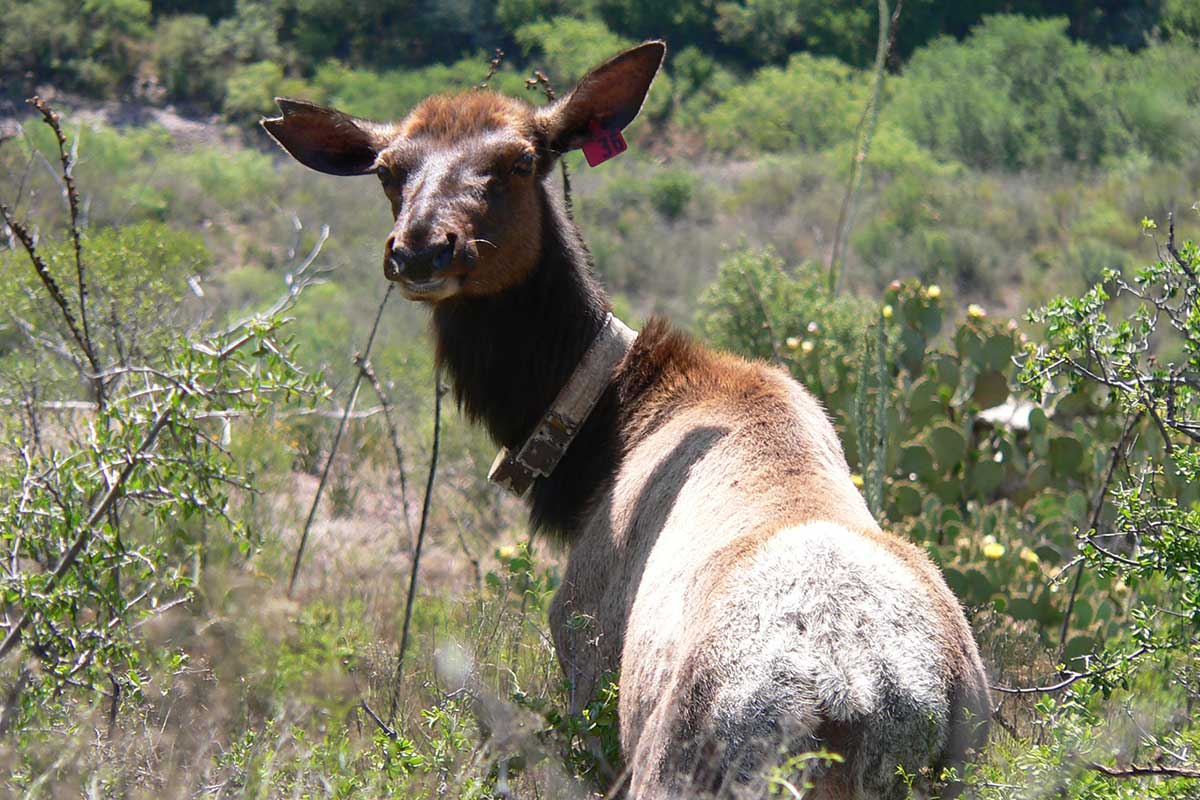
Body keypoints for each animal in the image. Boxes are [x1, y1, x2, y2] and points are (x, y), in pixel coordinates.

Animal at [263, 41, 991, 800]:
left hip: (668, 758)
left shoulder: (582, 650)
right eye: (388, 169)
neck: (597, 439)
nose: (422, 249)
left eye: (522, 160)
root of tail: (853, 695)